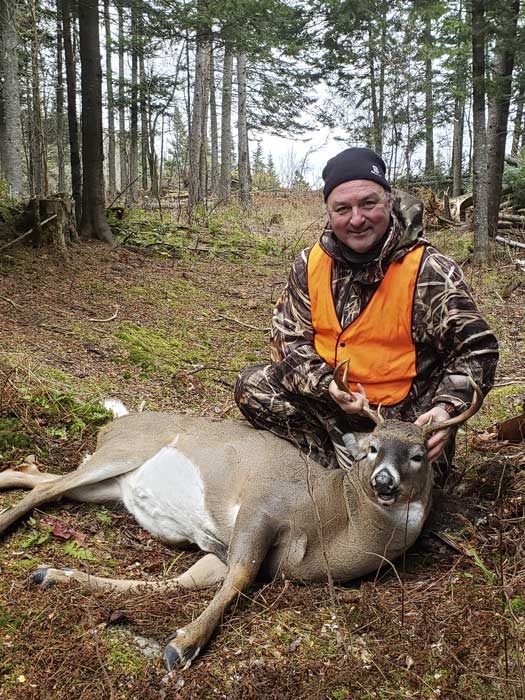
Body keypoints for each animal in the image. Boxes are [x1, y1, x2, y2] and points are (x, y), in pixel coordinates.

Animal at [0, 363, 482, 670]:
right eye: (372, 449)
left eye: (418, 455)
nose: (384, 481)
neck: (330, 524)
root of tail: (112, 422)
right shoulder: (260, 505)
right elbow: (241, 576)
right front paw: (183, 645)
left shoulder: (220, 550)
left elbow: (180, 582)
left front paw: (53, 573)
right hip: (122, 453)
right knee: (46, 488)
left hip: (110, 485)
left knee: (36, 475)